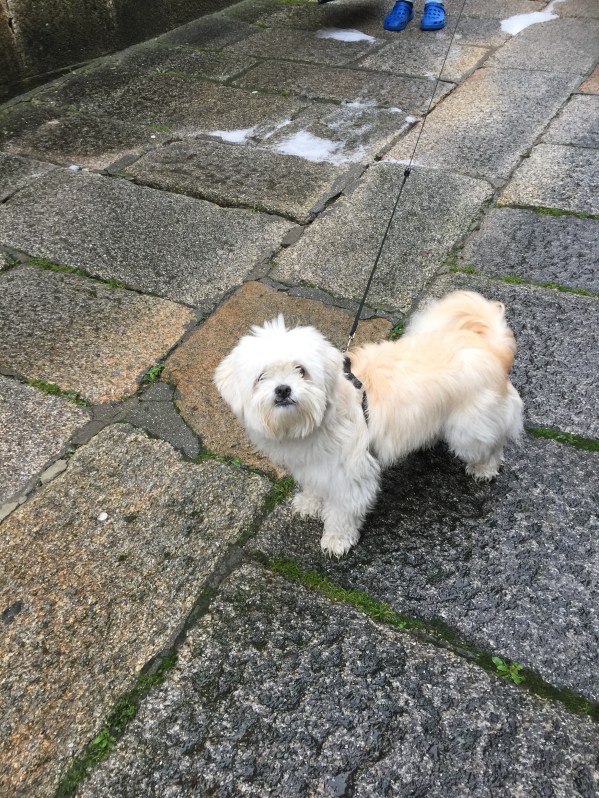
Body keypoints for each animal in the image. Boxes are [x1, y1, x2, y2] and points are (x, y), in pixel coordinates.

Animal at [215, 291, 523, 557]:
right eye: (261, 377)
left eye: (301, 370)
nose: (282, 389)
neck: (318, 419)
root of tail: (491, 347)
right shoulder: (314, 465)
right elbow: (315, 487)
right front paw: (310, 503)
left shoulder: (350, 472)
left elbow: (342, 511)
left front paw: (336, 539)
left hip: (470, 430)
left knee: (493, 444)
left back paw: (484, 468)